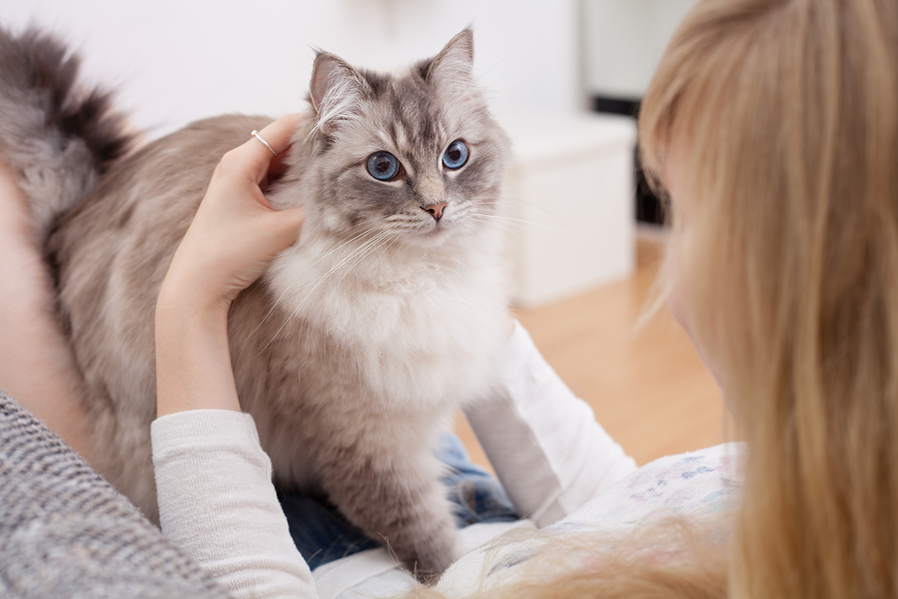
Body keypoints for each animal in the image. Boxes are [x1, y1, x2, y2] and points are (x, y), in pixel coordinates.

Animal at [1, 25, 512, 576]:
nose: (438, 208)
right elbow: (432, 547)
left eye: (455, 156)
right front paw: (458, 567)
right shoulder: (371, 445)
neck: (417, 278)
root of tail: (69, 222)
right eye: (383, 167)